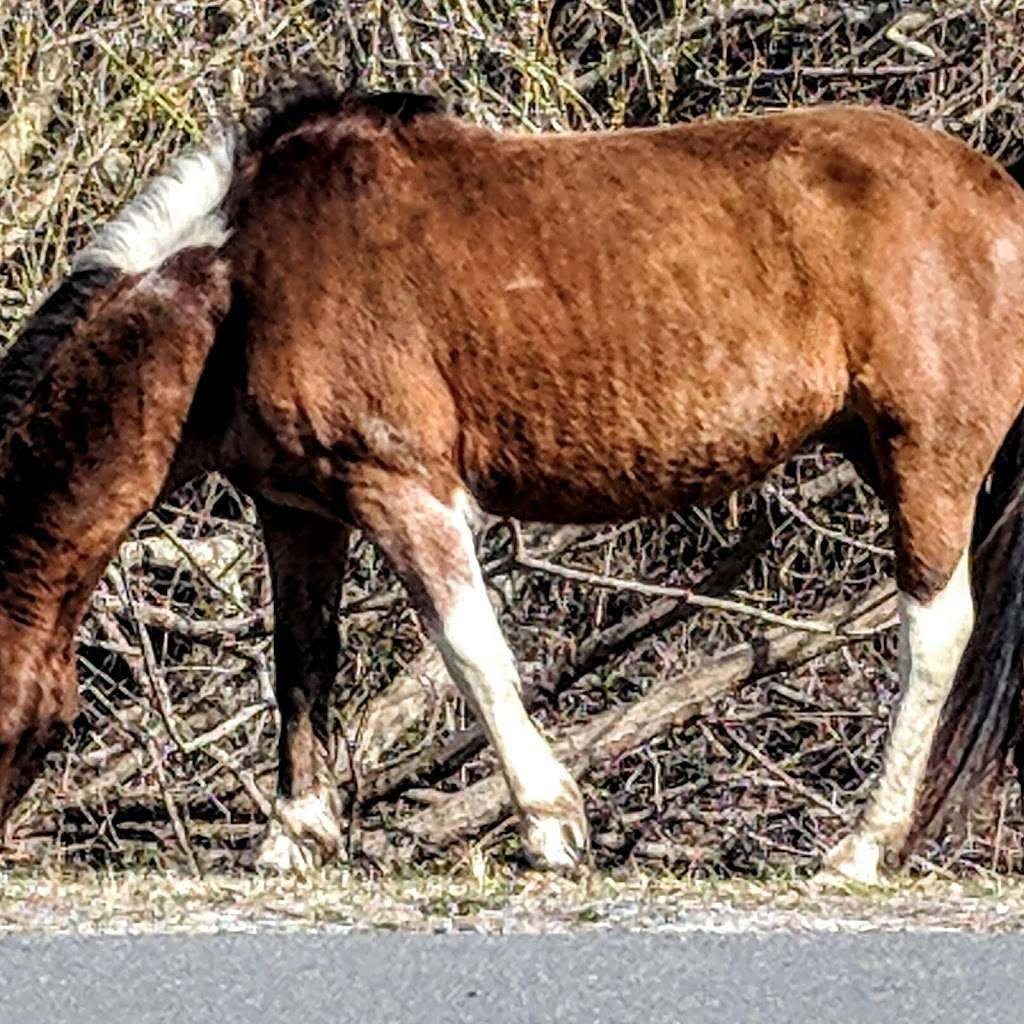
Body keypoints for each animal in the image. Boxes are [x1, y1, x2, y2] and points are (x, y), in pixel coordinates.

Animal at [2, 88, 1024, 884]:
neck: (240, 282)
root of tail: (996, 191)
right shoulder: (298, 511)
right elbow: (303, 662)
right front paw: (295, 837)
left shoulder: (404, 489)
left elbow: (472, 650)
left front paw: (551, 823)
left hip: (923, 461)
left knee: (934, 632)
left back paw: (862, 846)